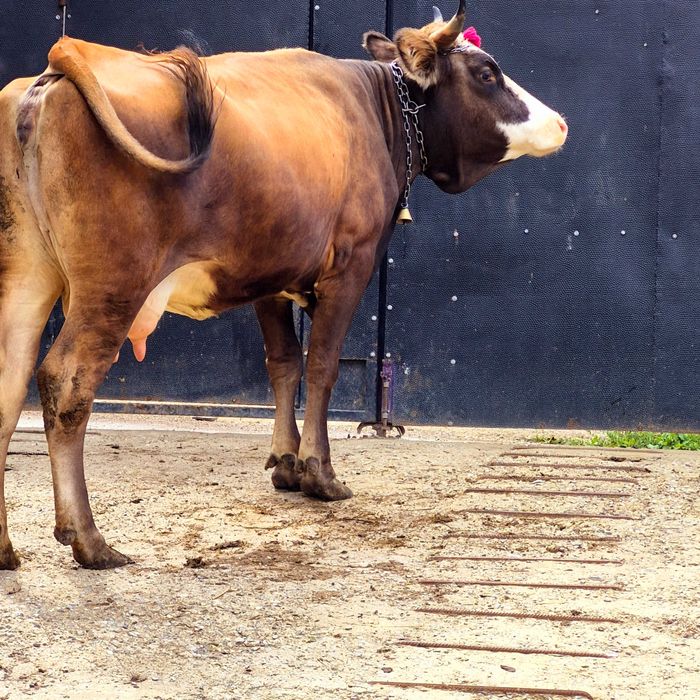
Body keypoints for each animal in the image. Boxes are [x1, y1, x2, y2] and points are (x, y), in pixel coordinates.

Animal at [0, 2, 567, 569]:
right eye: (486, 73)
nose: (560, 122)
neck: (374, 112)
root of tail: (58, 65)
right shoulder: (351, 264)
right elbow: (321, 364)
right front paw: (320, 472)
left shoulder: (272, 275)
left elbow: (284, 363)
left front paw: (286, 461)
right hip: (112, 287)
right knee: (66, 383)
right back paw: (89, 539)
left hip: (27, 279)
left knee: (10, 383)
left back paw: (6, 547)